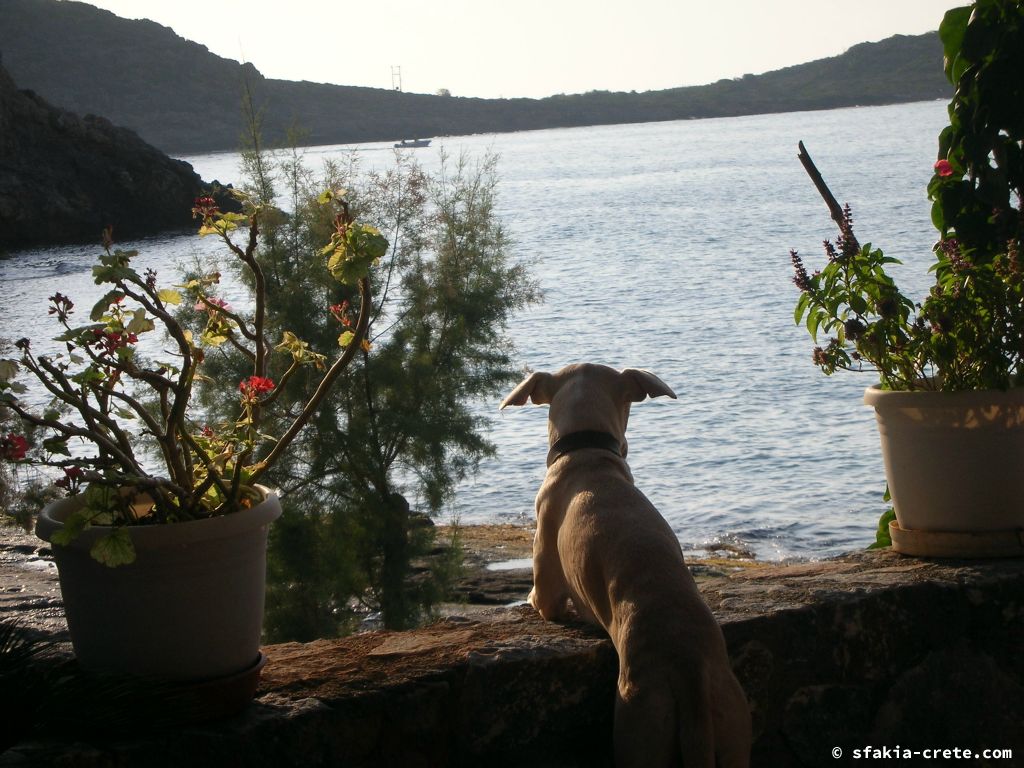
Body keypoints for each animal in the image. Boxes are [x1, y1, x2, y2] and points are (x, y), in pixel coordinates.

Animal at [501, 364, 753, 765]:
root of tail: (689, 667)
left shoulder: (548, 574)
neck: (587, 456)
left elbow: (544, 599)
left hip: (639, 725)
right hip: (732, 724)